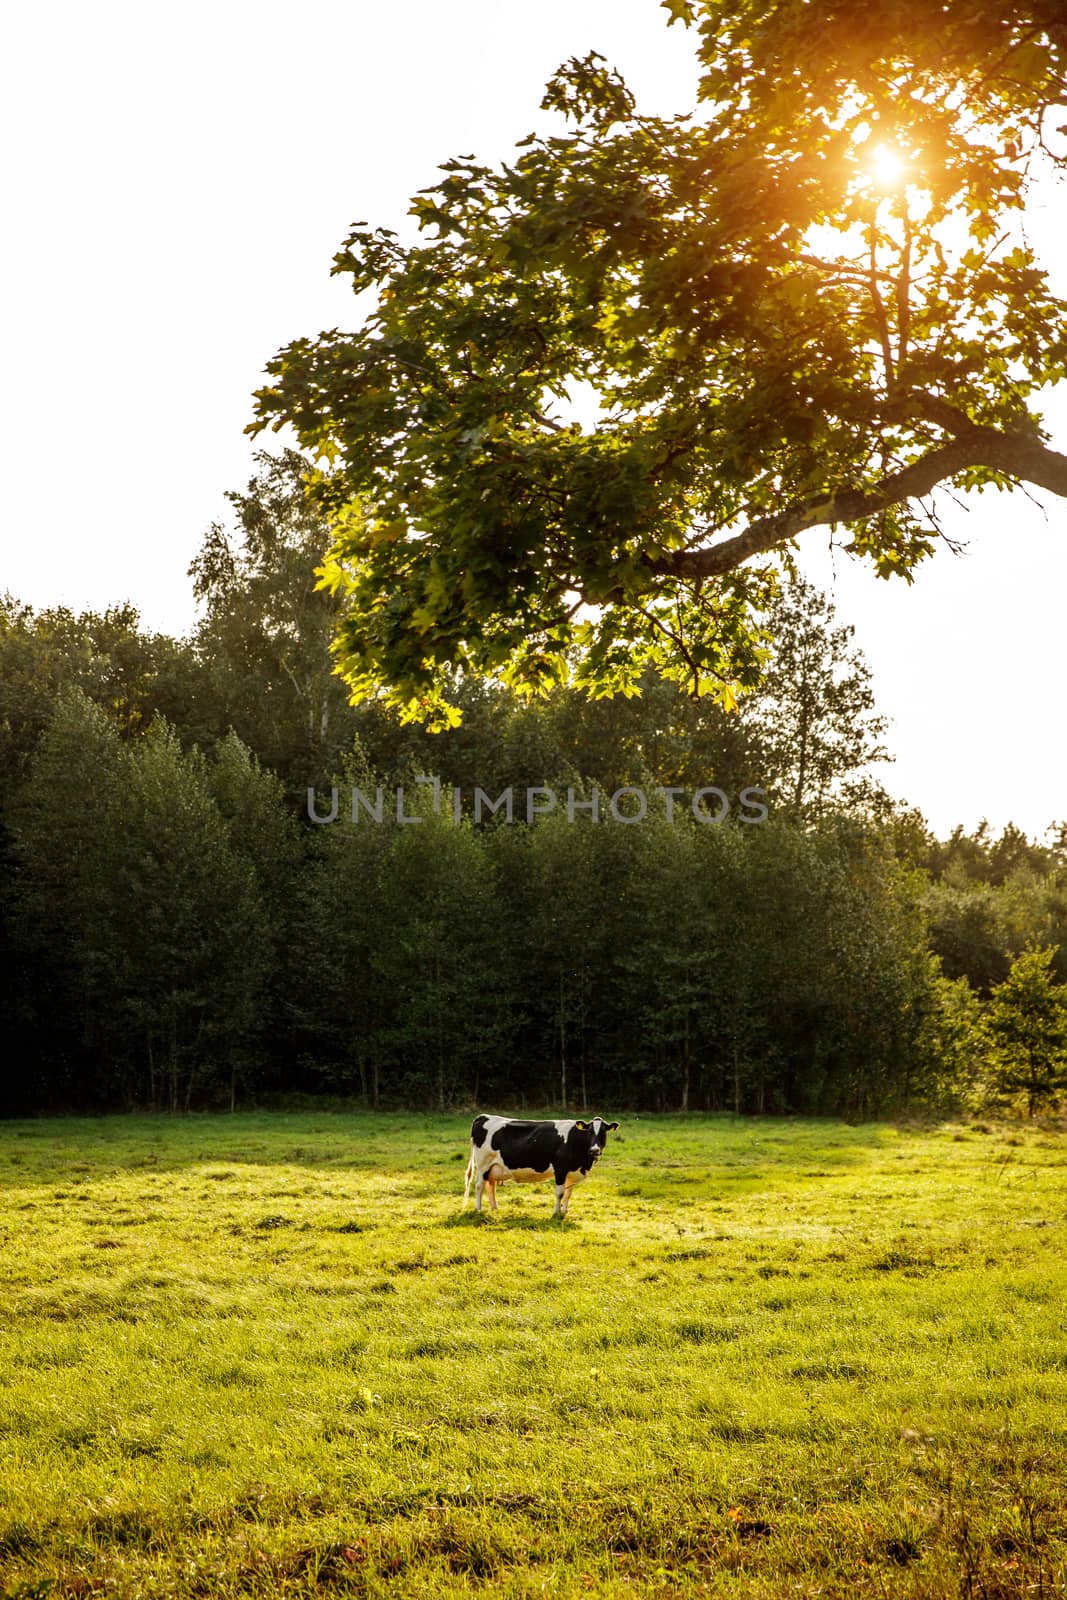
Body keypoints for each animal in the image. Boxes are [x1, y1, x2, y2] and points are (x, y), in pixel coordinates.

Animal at [460, 1120, 617, 1216]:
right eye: (590, 1132)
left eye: (603, 1133)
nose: (595, 1150)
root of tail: (482, 1117)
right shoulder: (560, 1169)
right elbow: (560, 1193)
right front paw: (556, 1213)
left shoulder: (571, 1172)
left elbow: (568, 1194)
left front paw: (564, 1211)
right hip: (482, 1165)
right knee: (479, 1185)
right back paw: (478, 1209)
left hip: (493, 1168)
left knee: (490, 1186)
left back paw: (494, 1208)